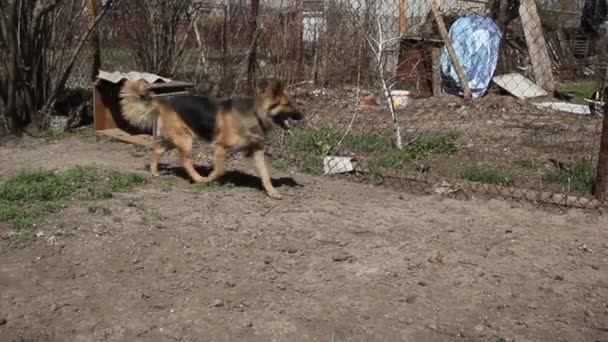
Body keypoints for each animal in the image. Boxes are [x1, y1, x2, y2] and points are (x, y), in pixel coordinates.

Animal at [120, 79, 304, 199]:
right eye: (288, 104)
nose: (302, 116)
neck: (255, 114)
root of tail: (162, 100)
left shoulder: (257, 150)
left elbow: (265, 173)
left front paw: (271, 191)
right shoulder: (220, 148)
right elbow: (219, 170)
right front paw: (209, 179)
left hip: (174, 139)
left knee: (157, 150)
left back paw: (154, 172)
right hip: (186, 140)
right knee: (185, 161)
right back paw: (198, 179)